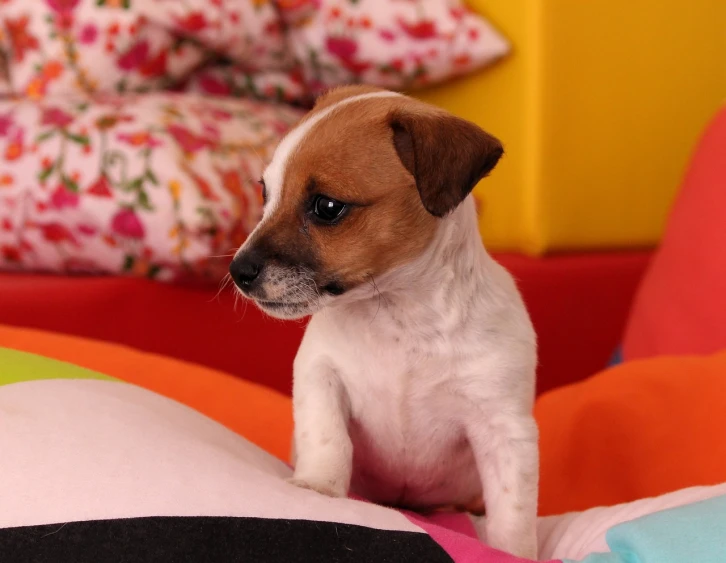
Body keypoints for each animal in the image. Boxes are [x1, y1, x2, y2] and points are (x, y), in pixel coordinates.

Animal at [229, 85, 540, 560]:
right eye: (266, 195)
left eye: (327, 207)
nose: (238, 271)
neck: (400, 318)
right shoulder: (320, 375)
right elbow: (328, 437)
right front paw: (318, 487)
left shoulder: (505, 428)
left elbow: (513, 513)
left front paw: (512, 552)